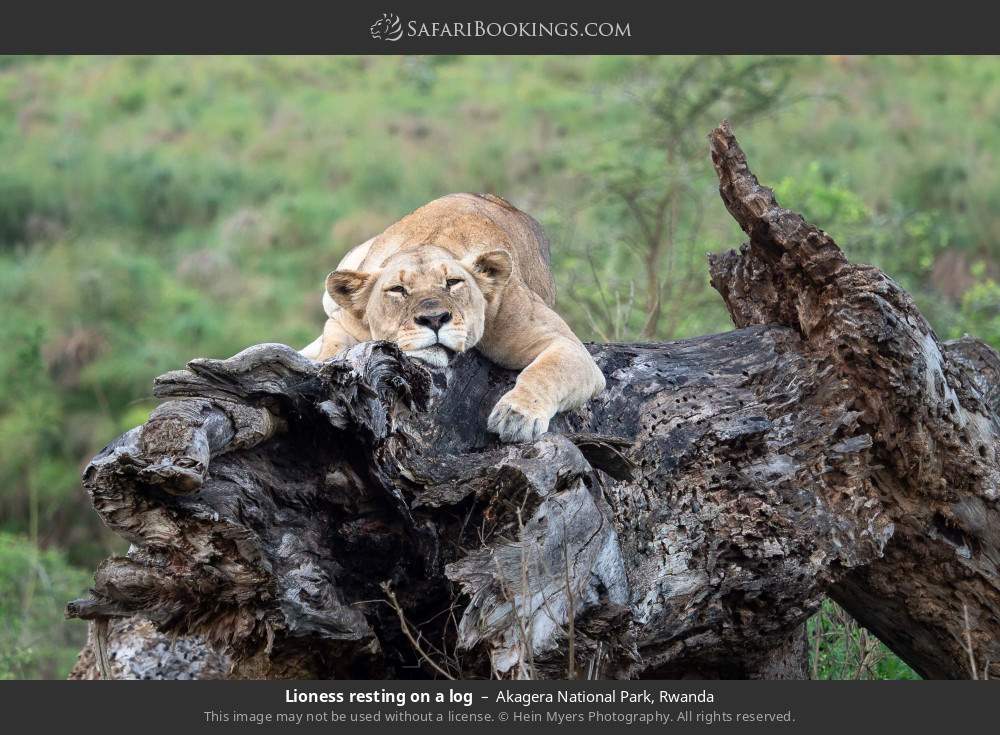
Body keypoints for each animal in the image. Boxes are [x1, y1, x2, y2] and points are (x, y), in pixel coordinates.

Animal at [300, 193, 606, 443]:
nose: (435, 319)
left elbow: (546, 371)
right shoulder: (344, 322)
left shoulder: (565, 344)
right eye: (398, 290)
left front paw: (516, 416)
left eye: (453, 282)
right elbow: (331, 348)